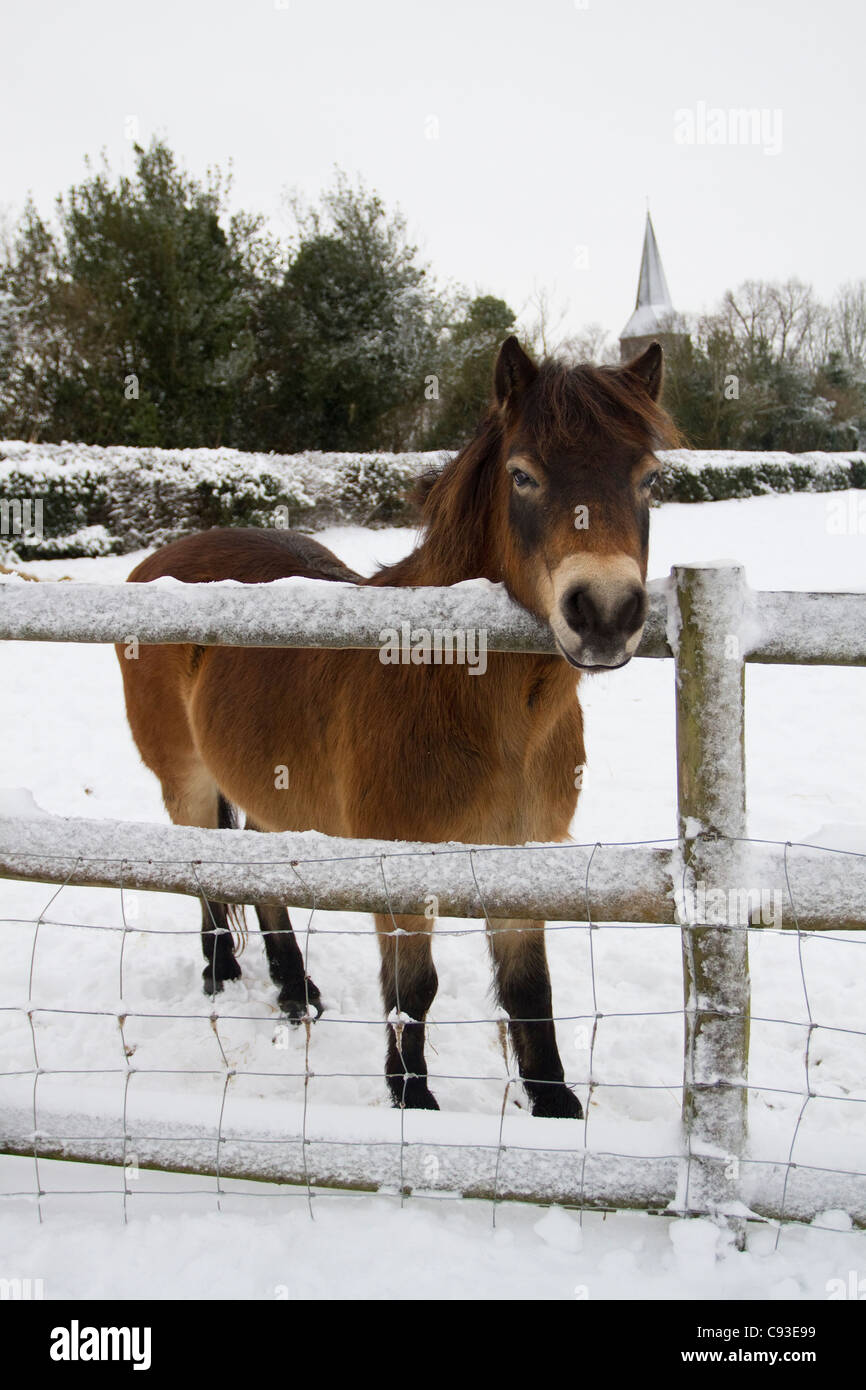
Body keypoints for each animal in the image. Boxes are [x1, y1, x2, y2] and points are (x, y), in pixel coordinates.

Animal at [117, 336, 679, 1119]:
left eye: (649, 477)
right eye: (523, 475)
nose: (603, 611)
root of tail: (160, 562)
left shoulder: (521, 853)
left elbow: (529, 988)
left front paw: (556, 1108)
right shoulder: (403, 868)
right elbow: (413, 990)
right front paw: (412, 1099)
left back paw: (295, 992)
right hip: (187, 781)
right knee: (206, 876)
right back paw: (221, 973)